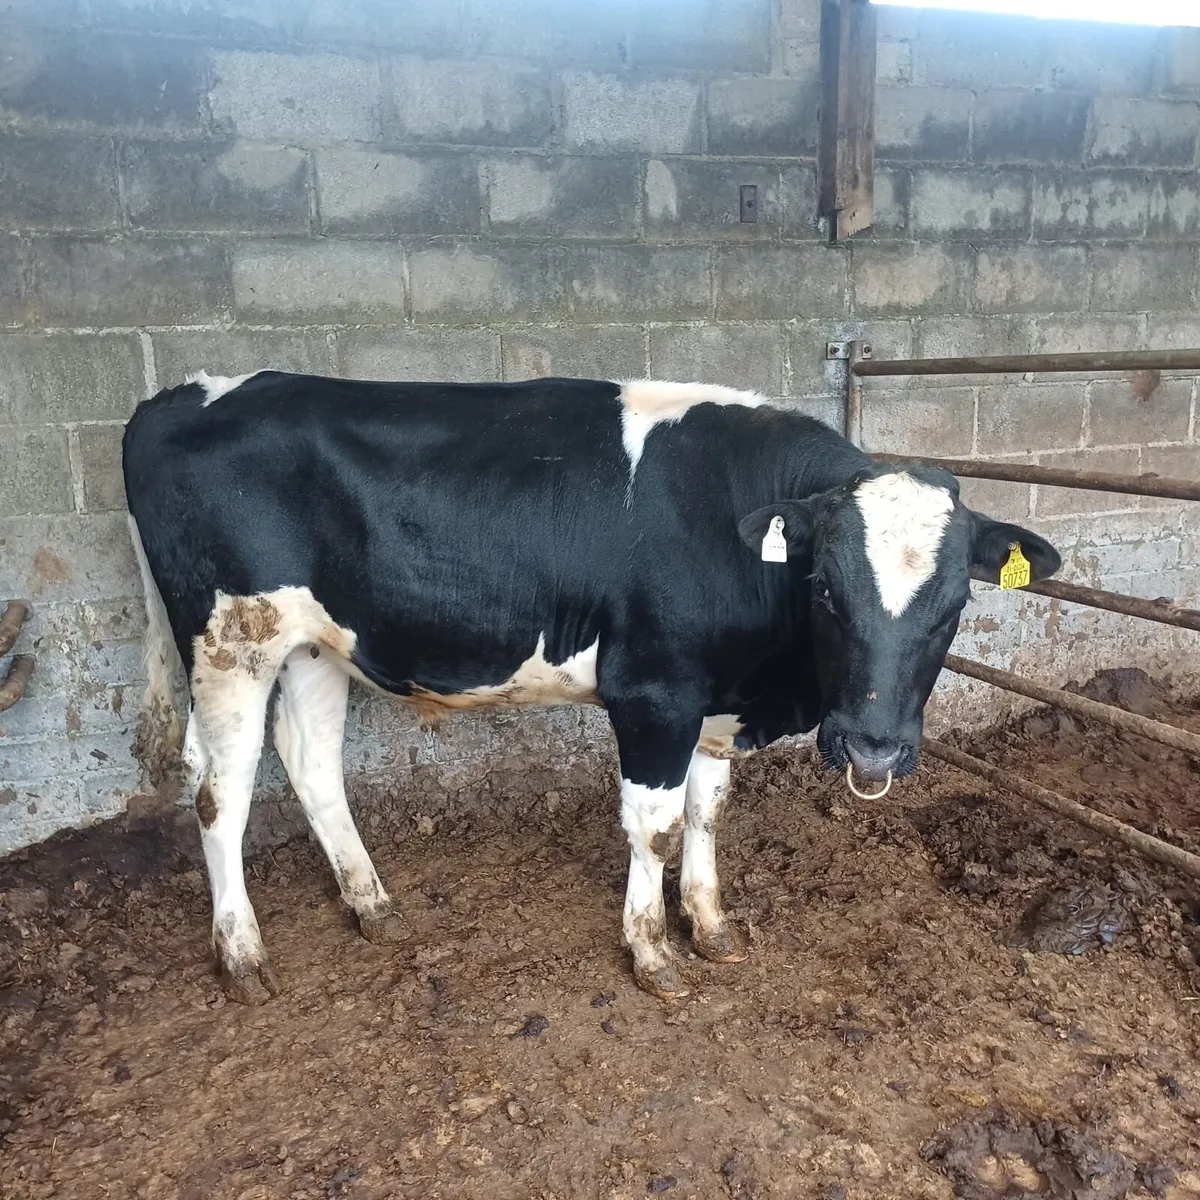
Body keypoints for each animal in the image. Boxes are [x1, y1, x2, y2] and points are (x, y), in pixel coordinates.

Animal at [122, 372, 1061, 1004]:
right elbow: (654, 826)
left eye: (956, 604)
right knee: (220, 791)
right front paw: (651, 952)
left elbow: (707, 812)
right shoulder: (654, 693)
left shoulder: (715, 701)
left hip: (316, 644)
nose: (873, 750)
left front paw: (710, 924)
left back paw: (370, 902)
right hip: (230, 641)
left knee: (311, 763)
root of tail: (174, 397)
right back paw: (242, 953)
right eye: (826, 589)